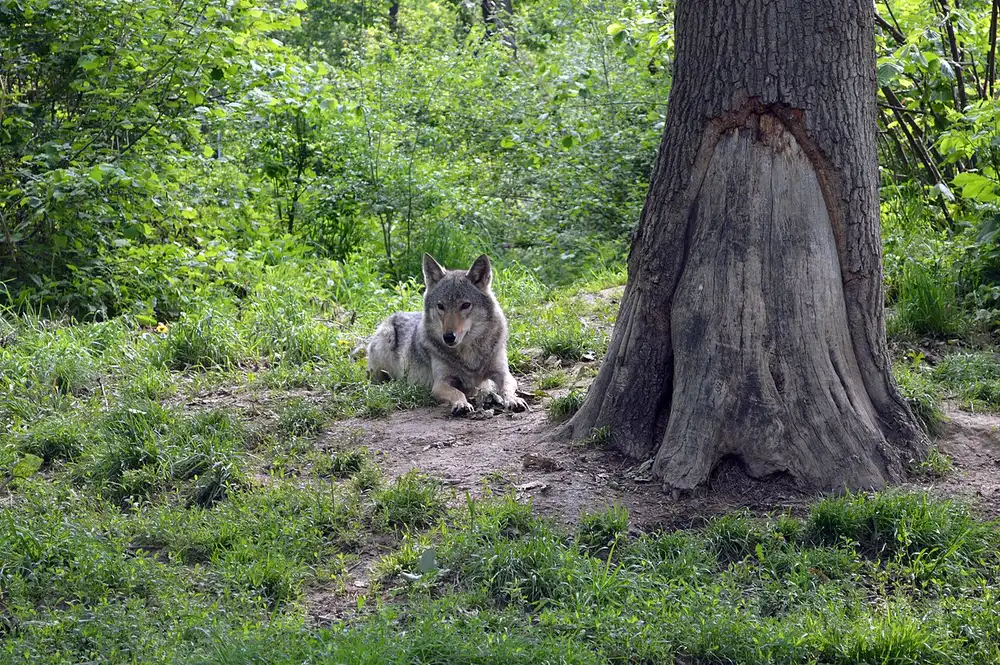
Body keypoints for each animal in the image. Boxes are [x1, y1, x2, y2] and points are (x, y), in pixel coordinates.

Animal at [365, 253, 528, 415]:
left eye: (465, 305)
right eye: (440, 306)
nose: (449, 337)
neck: (469, 356)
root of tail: (392, 315)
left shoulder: (503, 374)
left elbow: (506, 388)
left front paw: (514, 400)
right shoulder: (440, 383)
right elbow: (458, 392)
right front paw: (461, 404)